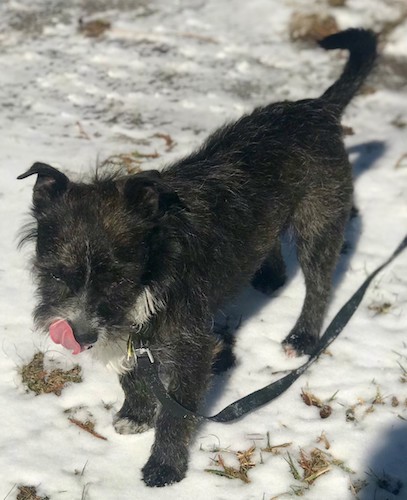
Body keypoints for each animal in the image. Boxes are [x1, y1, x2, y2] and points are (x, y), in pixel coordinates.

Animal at [17, 29, 378, 486]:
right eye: (58, 275)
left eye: (118, 279)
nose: (78, 336)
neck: (156, 264)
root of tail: (318, 108)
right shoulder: (137, 335)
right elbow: (134, 376)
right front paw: (136, 414)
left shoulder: (191, 350)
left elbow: (177, 414)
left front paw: (164, 466)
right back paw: (270, 278)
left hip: (319, 224)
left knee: (318, 285)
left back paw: (302, 337)